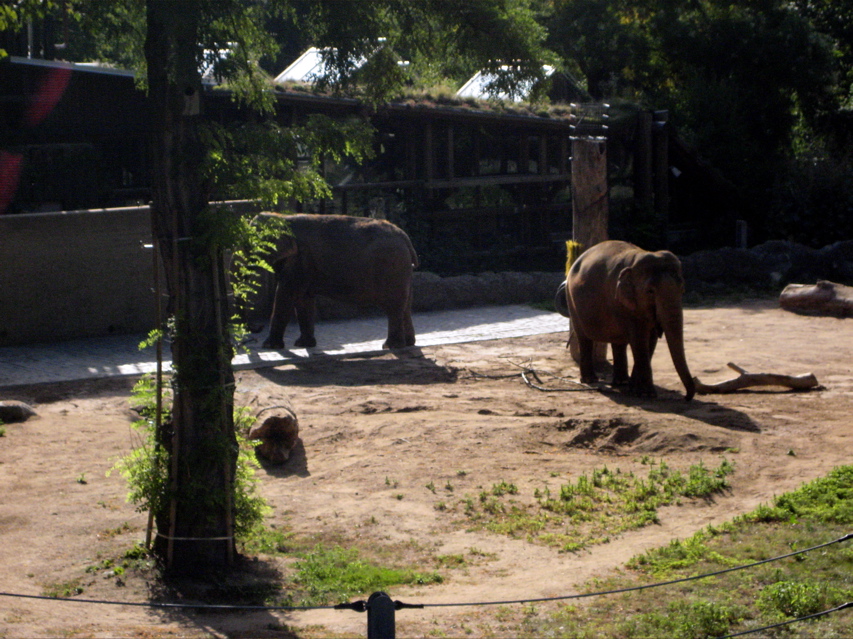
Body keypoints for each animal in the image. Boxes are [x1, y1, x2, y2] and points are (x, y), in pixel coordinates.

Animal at [260, 214, 420, 350]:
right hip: (403, 270)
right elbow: (303, 298)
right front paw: (303, 345)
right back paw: (408, 343)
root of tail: (405, 237)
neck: (281, 217)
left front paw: (269, 346)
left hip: (392, 266)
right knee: (406, 306)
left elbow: (285, 294)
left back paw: (391, 346)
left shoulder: (298, 259)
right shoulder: (305, 264)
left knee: (394, 306)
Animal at [564, 240, 696, 400]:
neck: (636, 259)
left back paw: (621, 382)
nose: (686, 397)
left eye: (682, 289)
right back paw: (590, 380)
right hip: (572, 302)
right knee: (584, 338)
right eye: (650, 291)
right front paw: (646, 394)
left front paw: (635, 390)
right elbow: (639, 339)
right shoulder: (621, 303)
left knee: (618, 342)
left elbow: (650, 340)